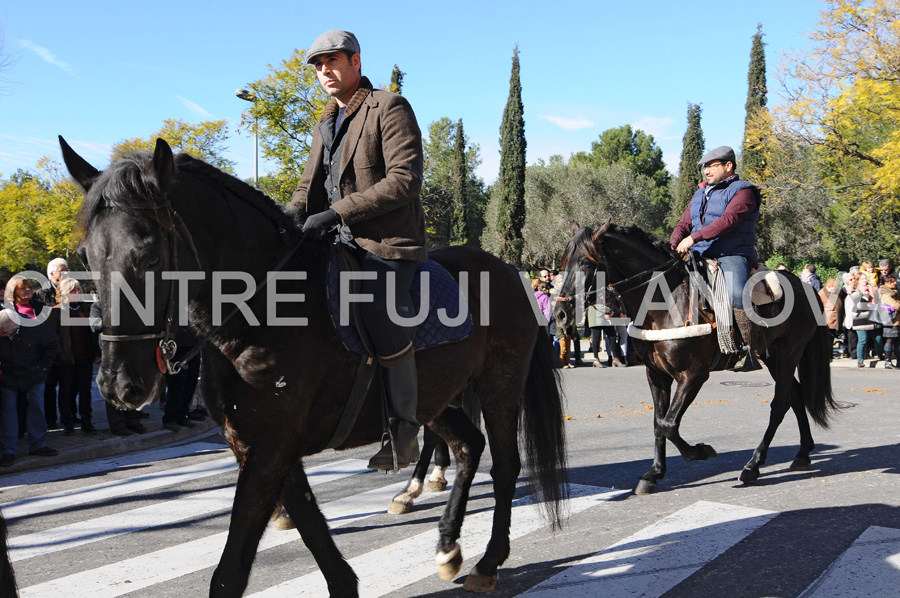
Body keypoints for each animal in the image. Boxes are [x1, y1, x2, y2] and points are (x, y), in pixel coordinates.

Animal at [61, 138, 568, 598]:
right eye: (85, 258)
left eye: (149, 255)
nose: (117, 384)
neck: (261, 308)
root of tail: (510, 270)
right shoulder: (259, 445)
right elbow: (310, 524)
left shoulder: (270, 446)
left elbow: (230, 572)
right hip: (434, 397)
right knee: (467, 446)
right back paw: (447, 544)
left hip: (499, 384)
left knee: (504, 464)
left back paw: (487, 560)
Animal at [552, 223, 840, 494]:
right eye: (564, 263)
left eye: (586, 262)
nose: (560, 313)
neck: (666, 302)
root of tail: (804, 287)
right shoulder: (656, 375)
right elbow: (658, 423)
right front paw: (654, 474)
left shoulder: (693, 375)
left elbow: (669, 424)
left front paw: (699, 452)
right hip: (772, 358)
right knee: (796, 396)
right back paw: (802, 453)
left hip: (788, 354)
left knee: (780, 405)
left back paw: (753, 466)